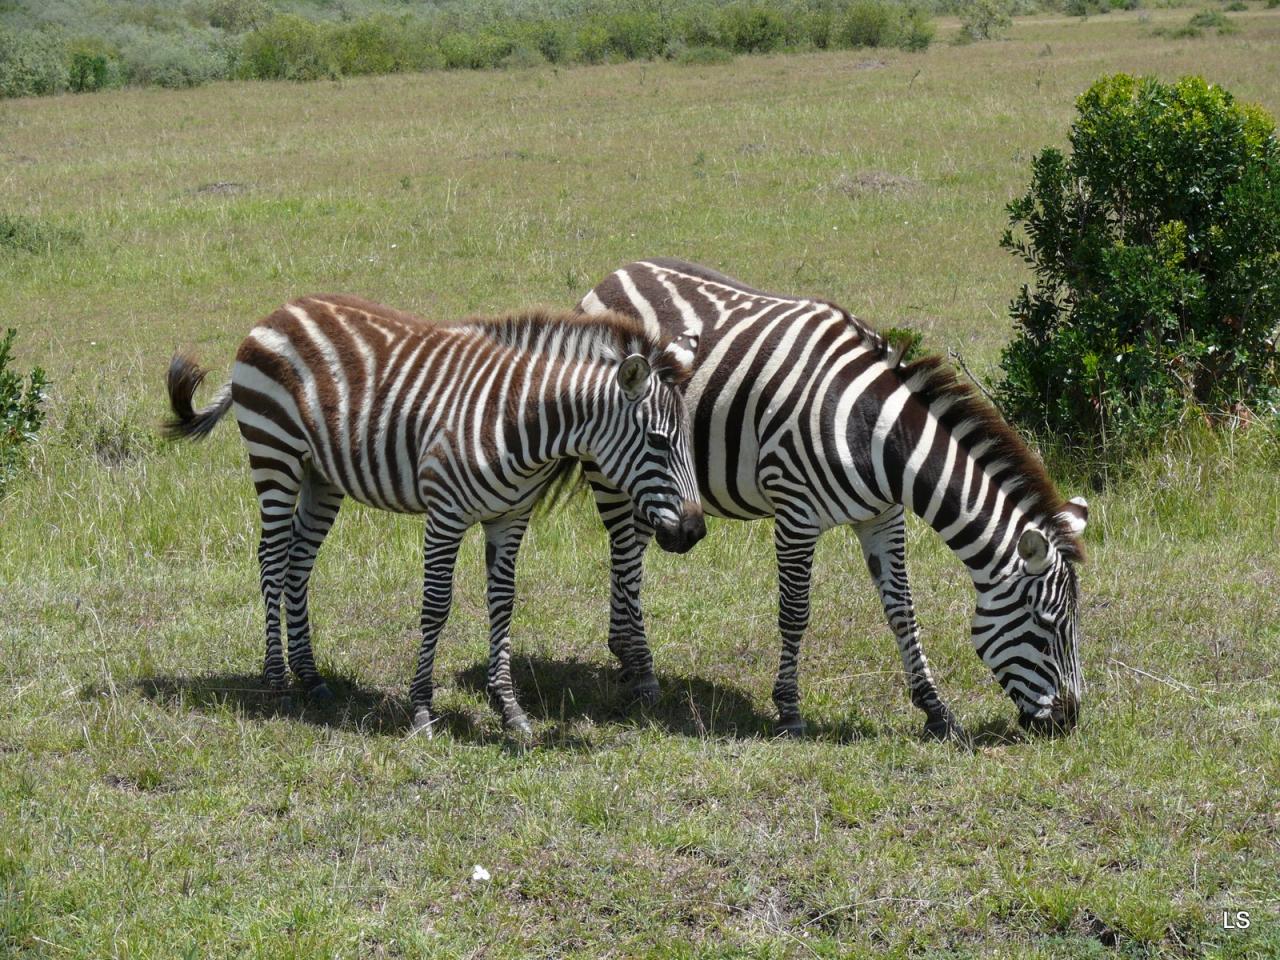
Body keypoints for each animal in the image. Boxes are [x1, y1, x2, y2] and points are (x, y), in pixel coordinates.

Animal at [165, 296, 706, 742]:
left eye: (687, 439)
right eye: (658, 441)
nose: (694, 531)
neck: (517, 419)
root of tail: (280, 311)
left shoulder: (510, 518)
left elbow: (503, 604)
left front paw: (509, 709)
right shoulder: (445, 514)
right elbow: (437, 605)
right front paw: (422, 709)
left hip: (321, 474)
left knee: (299, 561)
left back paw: (311, 678)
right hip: (274, 453)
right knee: (273, 559)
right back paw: (277, 681)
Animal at [581, 259, 1090, 742]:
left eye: (1072, 627)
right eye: (1047, 628)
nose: (1068, 721)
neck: (877, 436)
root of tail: (618, 272)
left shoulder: (883, 516)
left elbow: (903, 611)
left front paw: (936, 711)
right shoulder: (795, 515)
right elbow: (794, 613)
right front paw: (789, 711)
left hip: (650, 485)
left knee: (631, 552)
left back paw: (626, 656)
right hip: (609, 466)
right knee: (624, 555)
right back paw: (642, 673)